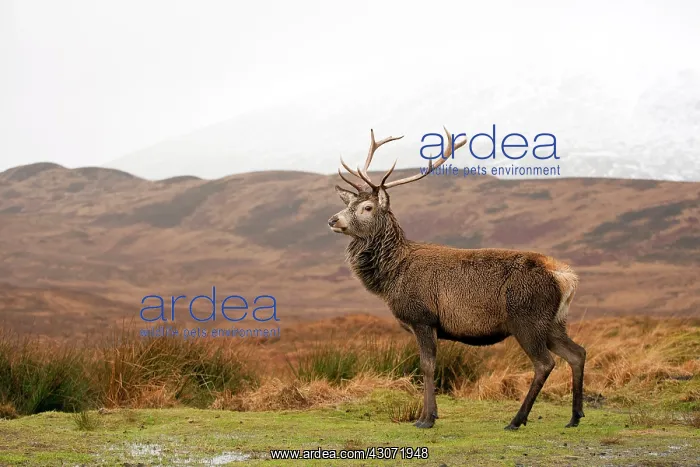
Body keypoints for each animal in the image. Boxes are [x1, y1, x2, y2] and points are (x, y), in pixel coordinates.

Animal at [327, 128, 586, 430]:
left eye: (367, 207)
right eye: (349, 204)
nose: (333, 220)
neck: (390, 276)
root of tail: (564, 277)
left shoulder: (423, 317)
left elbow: (427, 366)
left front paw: (426, 419)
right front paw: (428, 415)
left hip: (527, 317)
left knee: (545, 363)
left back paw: (517, 420)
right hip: (554, 322)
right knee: (577, 353)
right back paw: (574, 417)